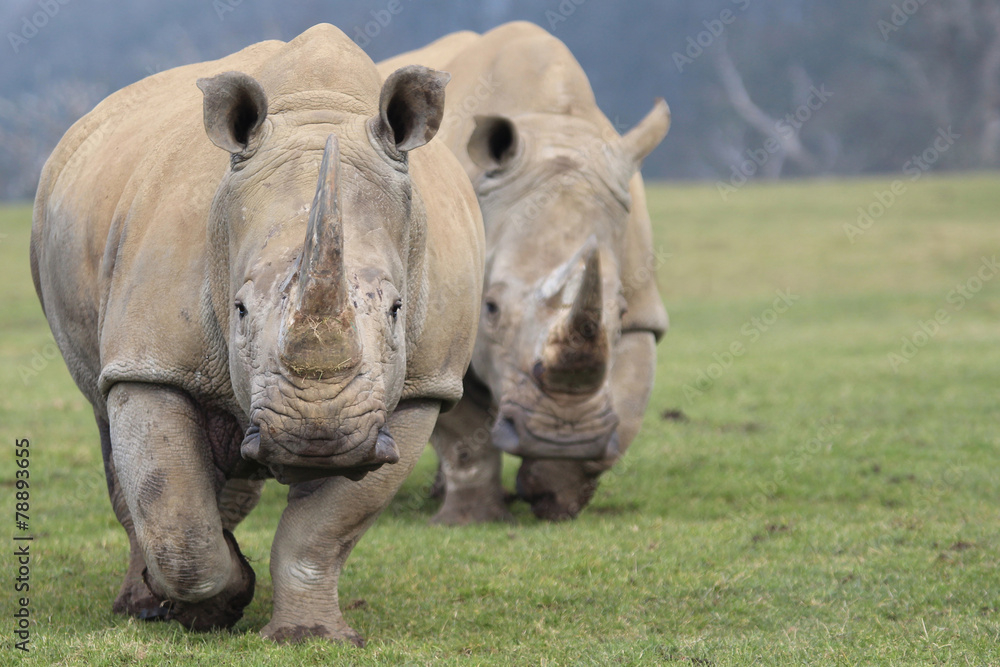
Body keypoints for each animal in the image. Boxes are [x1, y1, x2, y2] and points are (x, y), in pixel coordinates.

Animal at [29, 24, 483, 645]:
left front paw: (309, 637)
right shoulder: (149, 365)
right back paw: (143, 607)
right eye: (240, 310)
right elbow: (174, 518)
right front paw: (219, 603)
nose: (317, 436)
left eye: (396, 309)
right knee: (111, 428)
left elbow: (323, 532)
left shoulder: (423, 386)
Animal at [379, 22, 670, 523]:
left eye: (620, 309)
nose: (562, 436)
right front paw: (472, 519)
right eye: (491, 308)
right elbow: (462, 432)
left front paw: (556, 489)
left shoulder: (643, 311)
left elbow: (628, 403)